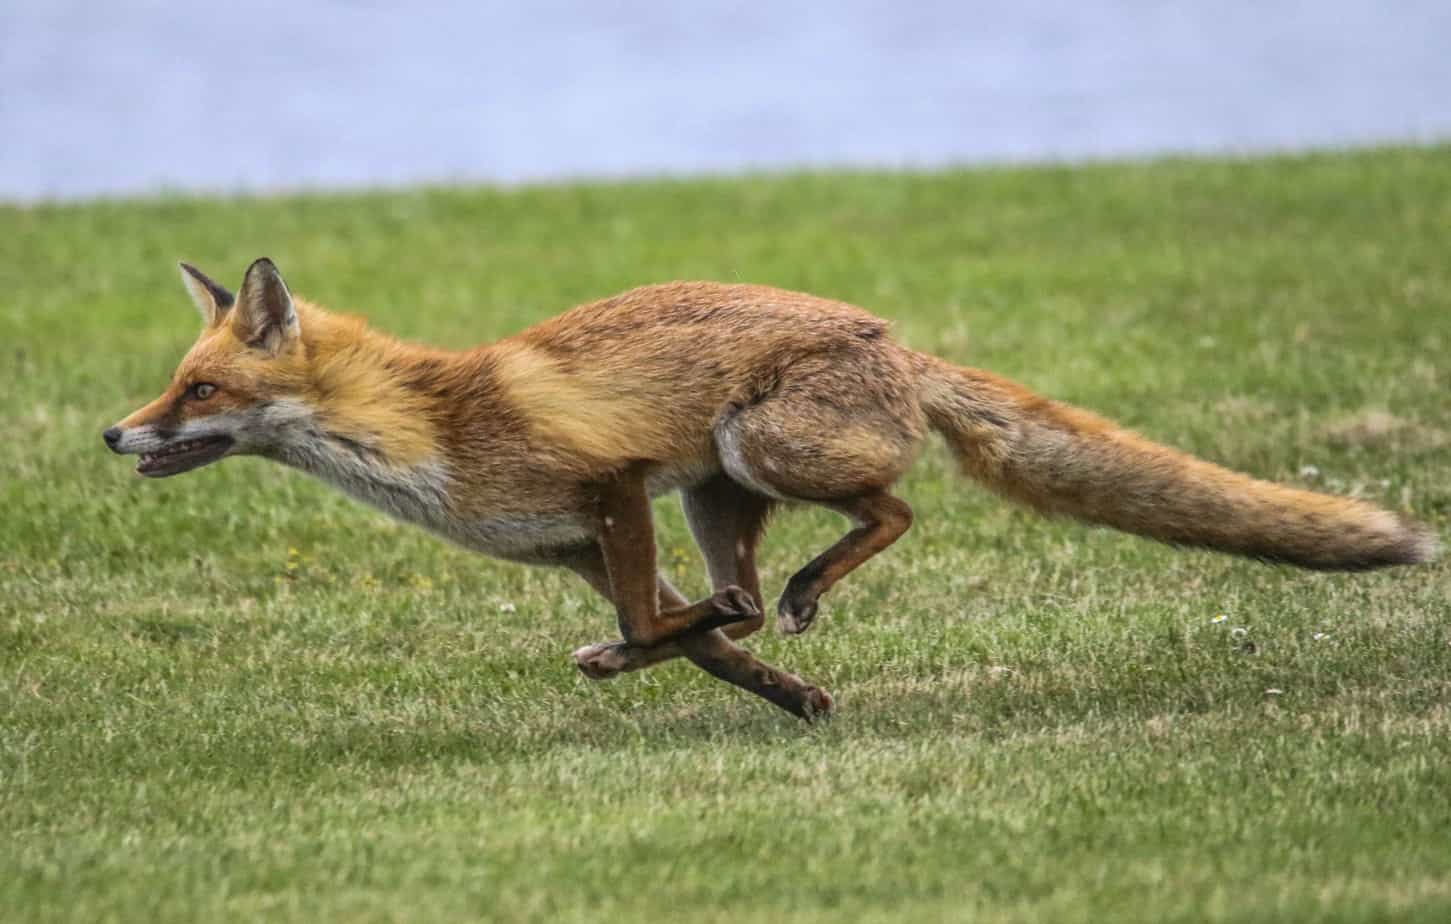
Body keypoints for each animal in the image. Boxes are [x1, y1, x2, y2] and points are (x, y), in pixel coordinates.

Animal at [105, 259, 1439, 719]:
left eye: (199, 389)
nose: (116, 434)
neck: (430, 432)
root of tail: (892, 338)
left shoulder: (612, 490)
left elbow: (661, 625)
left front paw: (659, 659)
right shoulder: (582, 545)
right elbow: (689, 638)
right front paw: (790, 701)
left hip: (752, 450)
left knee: (889, 512)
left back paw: (805, 587)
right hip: (716, 498)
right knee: (751, 584)